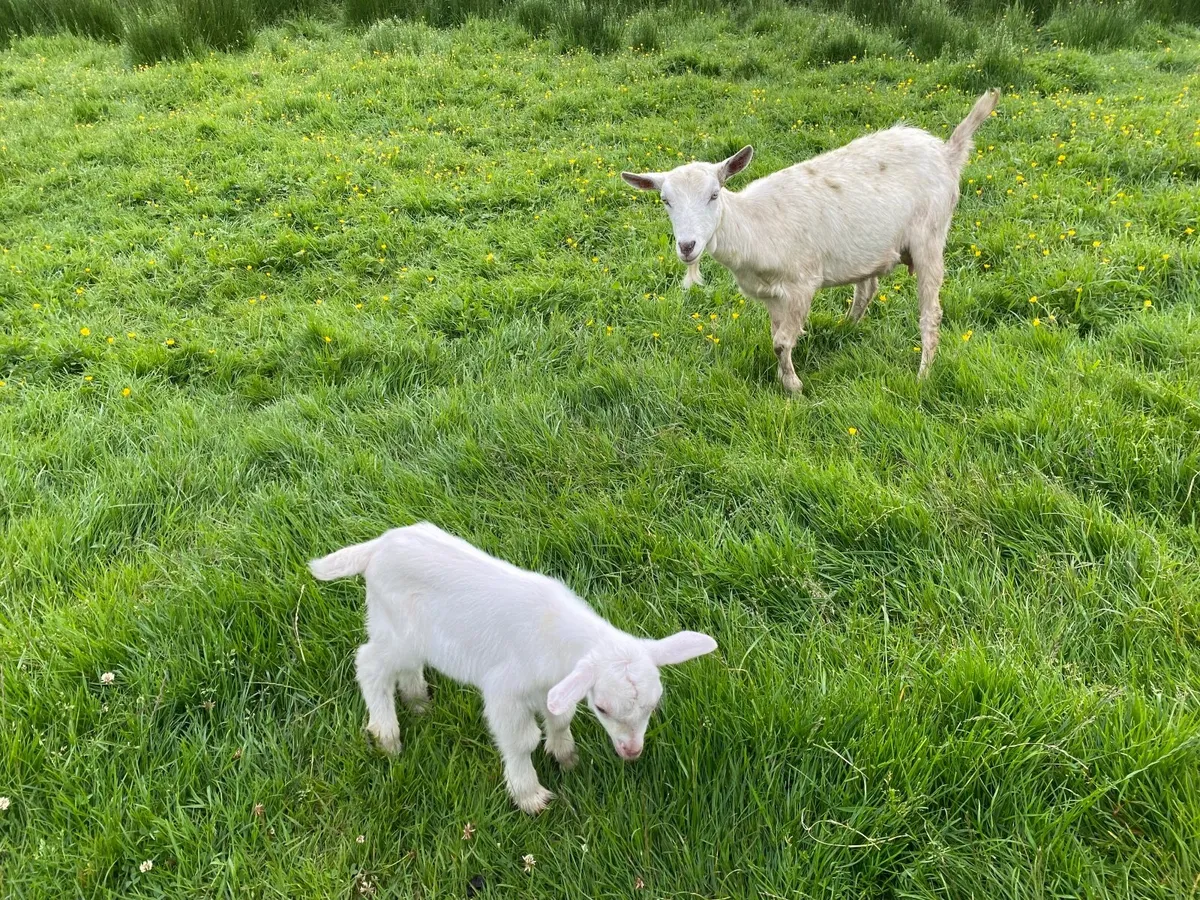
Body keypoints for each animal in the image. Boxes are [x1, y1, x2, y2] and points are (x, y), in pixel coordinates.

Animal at [309, 522, 717, 814]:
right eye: (602, 708)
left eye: (653, 706)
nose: (631, 751)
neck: (557, 637)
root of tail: (378, 546)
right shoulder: (505, 691)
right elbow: (522, 741)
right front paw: (530, 795)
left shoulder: (556, 686)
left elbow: (560, 718)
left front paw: (565, 756)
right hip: (395, 630)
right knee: (370, 663)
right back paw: (387, 734)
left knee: (405, 667)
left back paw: (418, 702)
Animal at [622, 89, 1000, 392]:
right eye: (665, 201)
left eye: (714, 195)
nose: (687, 247)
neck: (754, 226)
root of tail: (947, 153)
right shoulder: (772, 295)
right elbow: (777, 338)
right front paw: (784, 376)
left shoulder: (801, 284)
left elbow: (781, 342)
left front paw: (793, 387)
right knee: (867, 288)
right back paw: (846, 328)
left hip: (930, 235)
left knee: (930, 313)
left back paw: (923, 373)